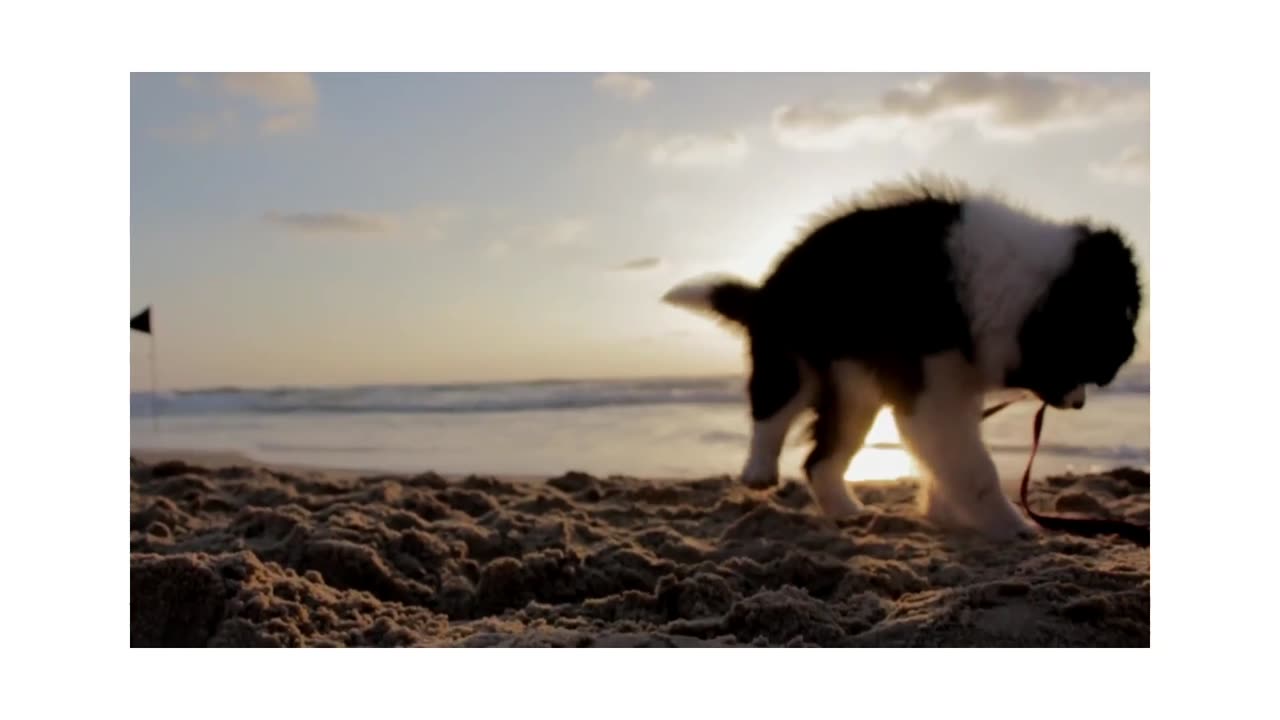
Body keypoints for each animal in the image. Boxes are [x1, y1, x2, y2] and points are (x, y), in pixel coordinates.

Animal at [660, 178, 1141, 538]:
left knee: (820, 460)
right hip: (793, 358)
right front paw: (1014, 526)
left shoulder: (955, 383)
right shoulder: (934, 387)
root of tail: (766, 292)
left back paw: (847, 511)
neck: (1015, 289)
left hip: (854, 389)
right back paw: (759, 470)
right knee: (774, 410)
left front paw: (946, 511)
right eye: (1092, 363)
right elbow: (973, 465)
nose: (1079, 403)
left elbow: (952, 458)